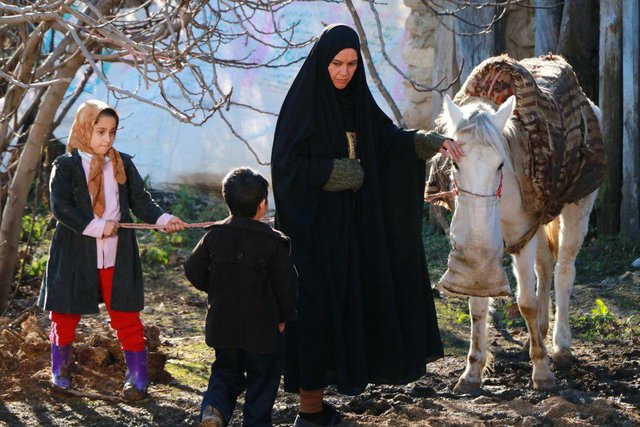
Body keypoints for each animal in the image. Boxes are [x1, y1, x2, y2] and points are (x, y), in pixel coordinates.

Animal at [438, 94, 596, 394]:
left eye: (501, 165)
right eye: (455, 165)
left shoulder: (521, 237)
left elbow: (526, 303)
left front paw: (542, 372)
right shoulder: (485, 247)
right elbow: (477, 303)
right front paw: (471, 373)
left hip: (577, 210)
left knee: (564, 271)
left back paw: (561, 346)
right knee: (545, 267)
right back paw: (540, 334)